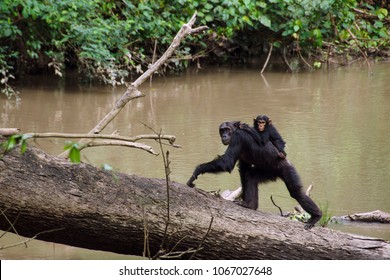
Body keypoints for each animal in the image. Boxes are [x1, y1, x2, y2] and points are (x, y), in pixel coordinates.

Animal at [187, 121, 322, 230]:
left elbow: (227, 163)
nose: (224, 135)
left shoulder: (238, 137)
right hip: (268, 173)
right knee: (251, 177)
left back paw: (316, 216)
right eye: (222, 130)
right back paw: (251, 205)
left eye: (227, 130)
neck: (236, 130)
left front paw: (197, 171)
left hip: (287, 169)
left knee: (296, 192)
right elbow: (244, 170)